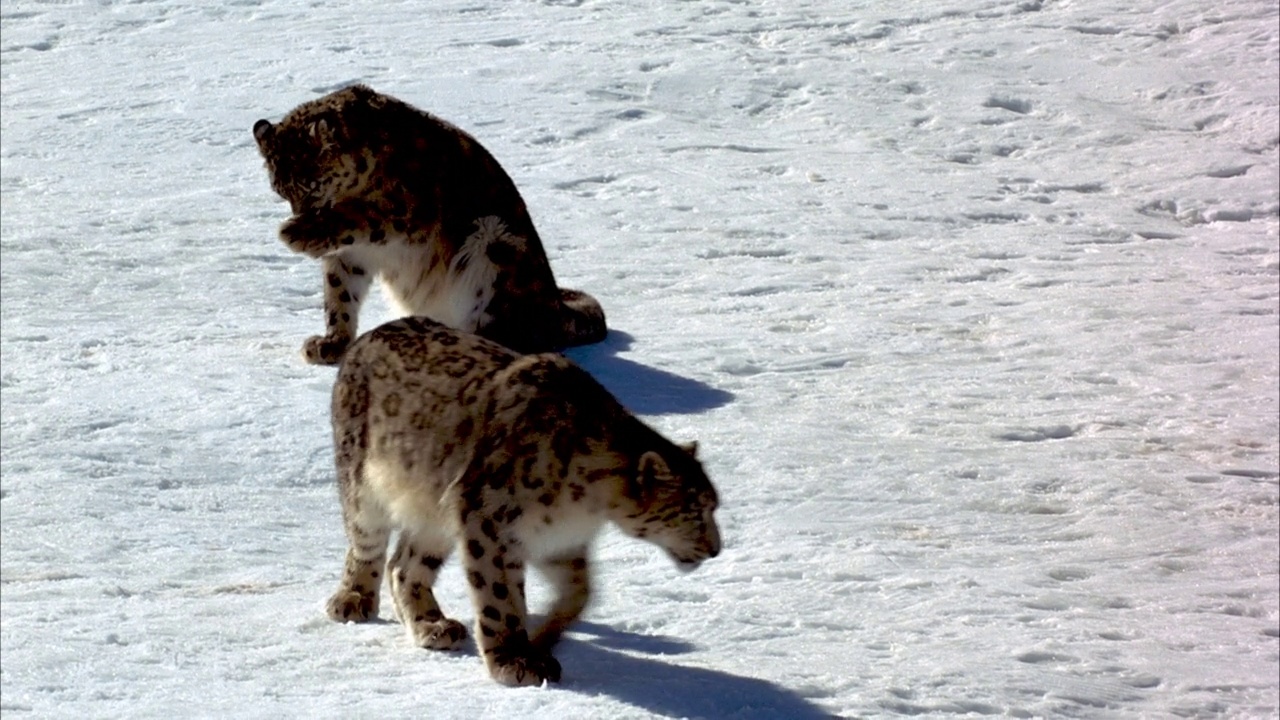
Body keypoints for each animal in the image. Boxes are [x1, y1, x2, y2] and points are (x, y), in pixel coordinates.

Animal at [256, 84, 609, 361]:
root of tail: (555, 306)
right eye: (280, 190)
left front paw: (296, 234)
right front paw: (332, 343)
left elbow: (361, 216)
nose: (300, 215)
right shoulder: (351, 254)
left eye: (310, 185)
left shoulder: (406, 209)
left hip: (495, 243)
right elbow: (339, 292)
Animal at [325, 315, 721, 681]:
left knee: (405, 565)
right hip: (364, 489)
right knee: (367, 545)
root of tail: (372, 333)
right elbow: (499, 596)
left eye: (713, 506)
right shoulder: (489, 523)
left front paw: (545, 637)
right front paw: (513, 659)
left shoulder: (560, 539)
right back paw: (354, 600)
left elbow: (581, 592)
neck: (587, 505)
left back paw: (432, 625)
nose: (716, 549)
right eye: (695, 509)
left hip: (434, 515)